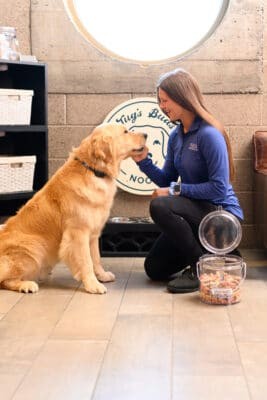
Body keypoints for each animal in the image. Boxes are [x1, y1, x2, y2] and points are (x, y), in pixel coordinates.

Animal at [0, 124, 148, 294]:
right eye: (125, 132)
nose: (146, 134)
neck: (93, 170)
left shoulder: (93, 234)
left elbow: (96, 258)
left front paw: (102, 275)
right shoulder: (78, 233)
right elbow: (86, 261)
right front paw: (93, 284)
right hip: (34, 247)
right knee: (5, 280)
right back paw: (27, 285)